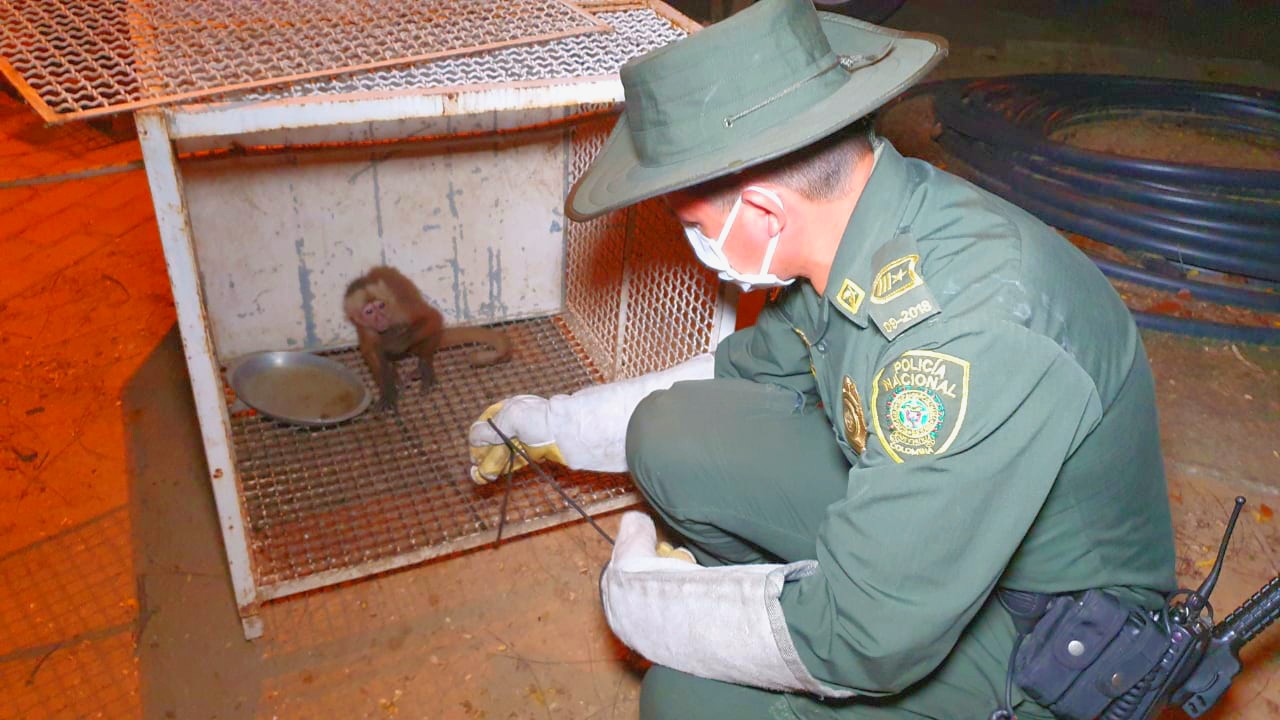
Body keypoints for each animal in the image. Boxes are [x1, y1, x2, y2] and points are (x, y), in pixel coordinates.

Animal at [344, 266, 512, 411]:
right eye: (369, 311)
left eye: (381, 306)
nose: (380, 318)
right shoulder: (365, 328)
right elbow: (370, 351)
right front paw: (388, 389)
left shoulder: (398, 308)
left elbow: (432, 318)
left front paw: (399, 345)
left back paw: (423, 365)